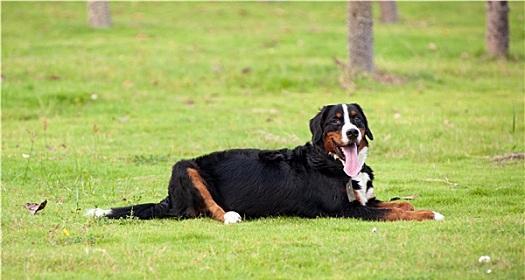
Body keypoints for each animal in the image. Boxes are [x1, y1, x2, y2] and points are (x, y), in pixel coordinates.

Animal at [88, 104, 444, 224]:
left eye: (356, 119)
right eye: (335, 121)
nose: (353, 133)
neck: (332, 163)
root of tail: (169, 199)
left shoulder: (362, 201)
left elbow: (399, 205)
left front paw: (418, 207)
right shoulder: (344, 210)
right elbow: (396, 212)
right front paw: (431, 214)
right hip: (184, 166)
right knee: (203, 211)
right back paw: (230, 215)